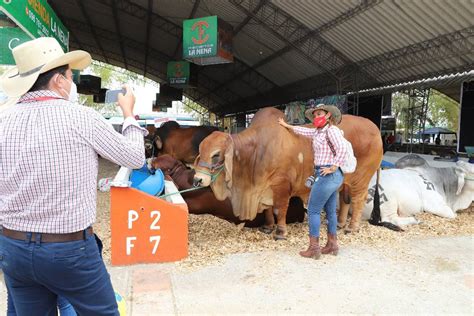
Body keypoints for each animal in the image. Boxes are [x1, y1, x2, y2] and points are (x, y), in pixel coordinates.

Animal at [193, 107, 382, 238]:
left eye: (216, 154)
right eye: (200, 151)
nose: (197, 179)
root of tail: (375, 128)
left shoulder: (281, 184)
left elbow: (280, 209)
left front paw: (280, 232)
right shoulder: (265, 186)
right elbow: (268, 210)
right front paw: (268, 227)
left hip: (361, 179)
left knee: (358, 200)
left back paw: (352, 228)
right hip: (346, 182)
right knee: (345, 200)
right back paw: (340, 224)